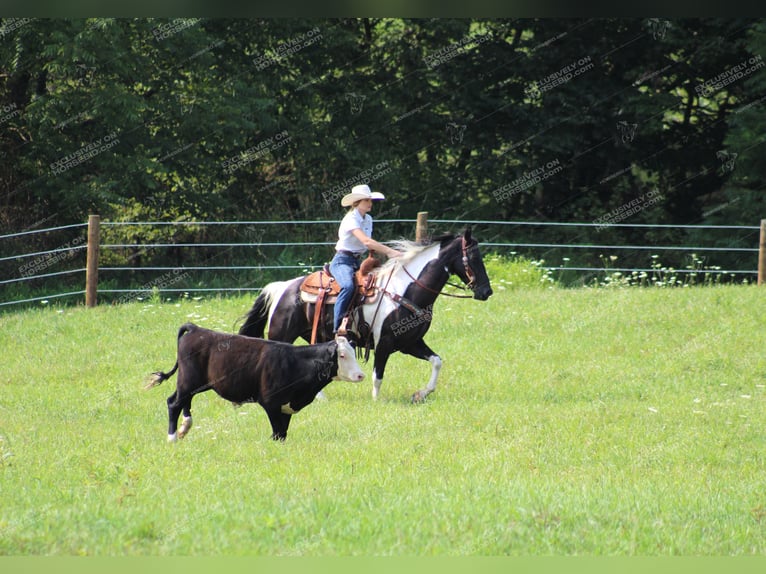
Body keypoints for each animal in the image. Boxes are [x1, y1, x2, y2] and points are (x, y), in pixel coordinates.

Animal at [150, 326, 368, 444]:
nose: (360, 375)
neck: (296, 363)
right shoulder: (271, 404)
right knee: (174, 403)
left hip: (194, 383)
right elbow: (277, 434)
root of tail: (196, 329)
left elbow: (283, 434)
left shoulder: (286, 408)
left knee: (182, 401)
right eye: (342, 355)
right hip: (189, 380)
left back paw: (184, 428)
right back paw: (172, 438)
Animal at [237, 230, 496, 404]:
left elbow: (437, 361)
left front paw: (420, 394)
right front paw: (376, 402)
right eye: (473, 258)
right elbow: (377, 375)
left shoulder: (411, 342)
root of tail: (281, 288)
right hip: (281, 334)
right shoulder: (384, 343)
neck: (406, 290)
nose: (486, 292)